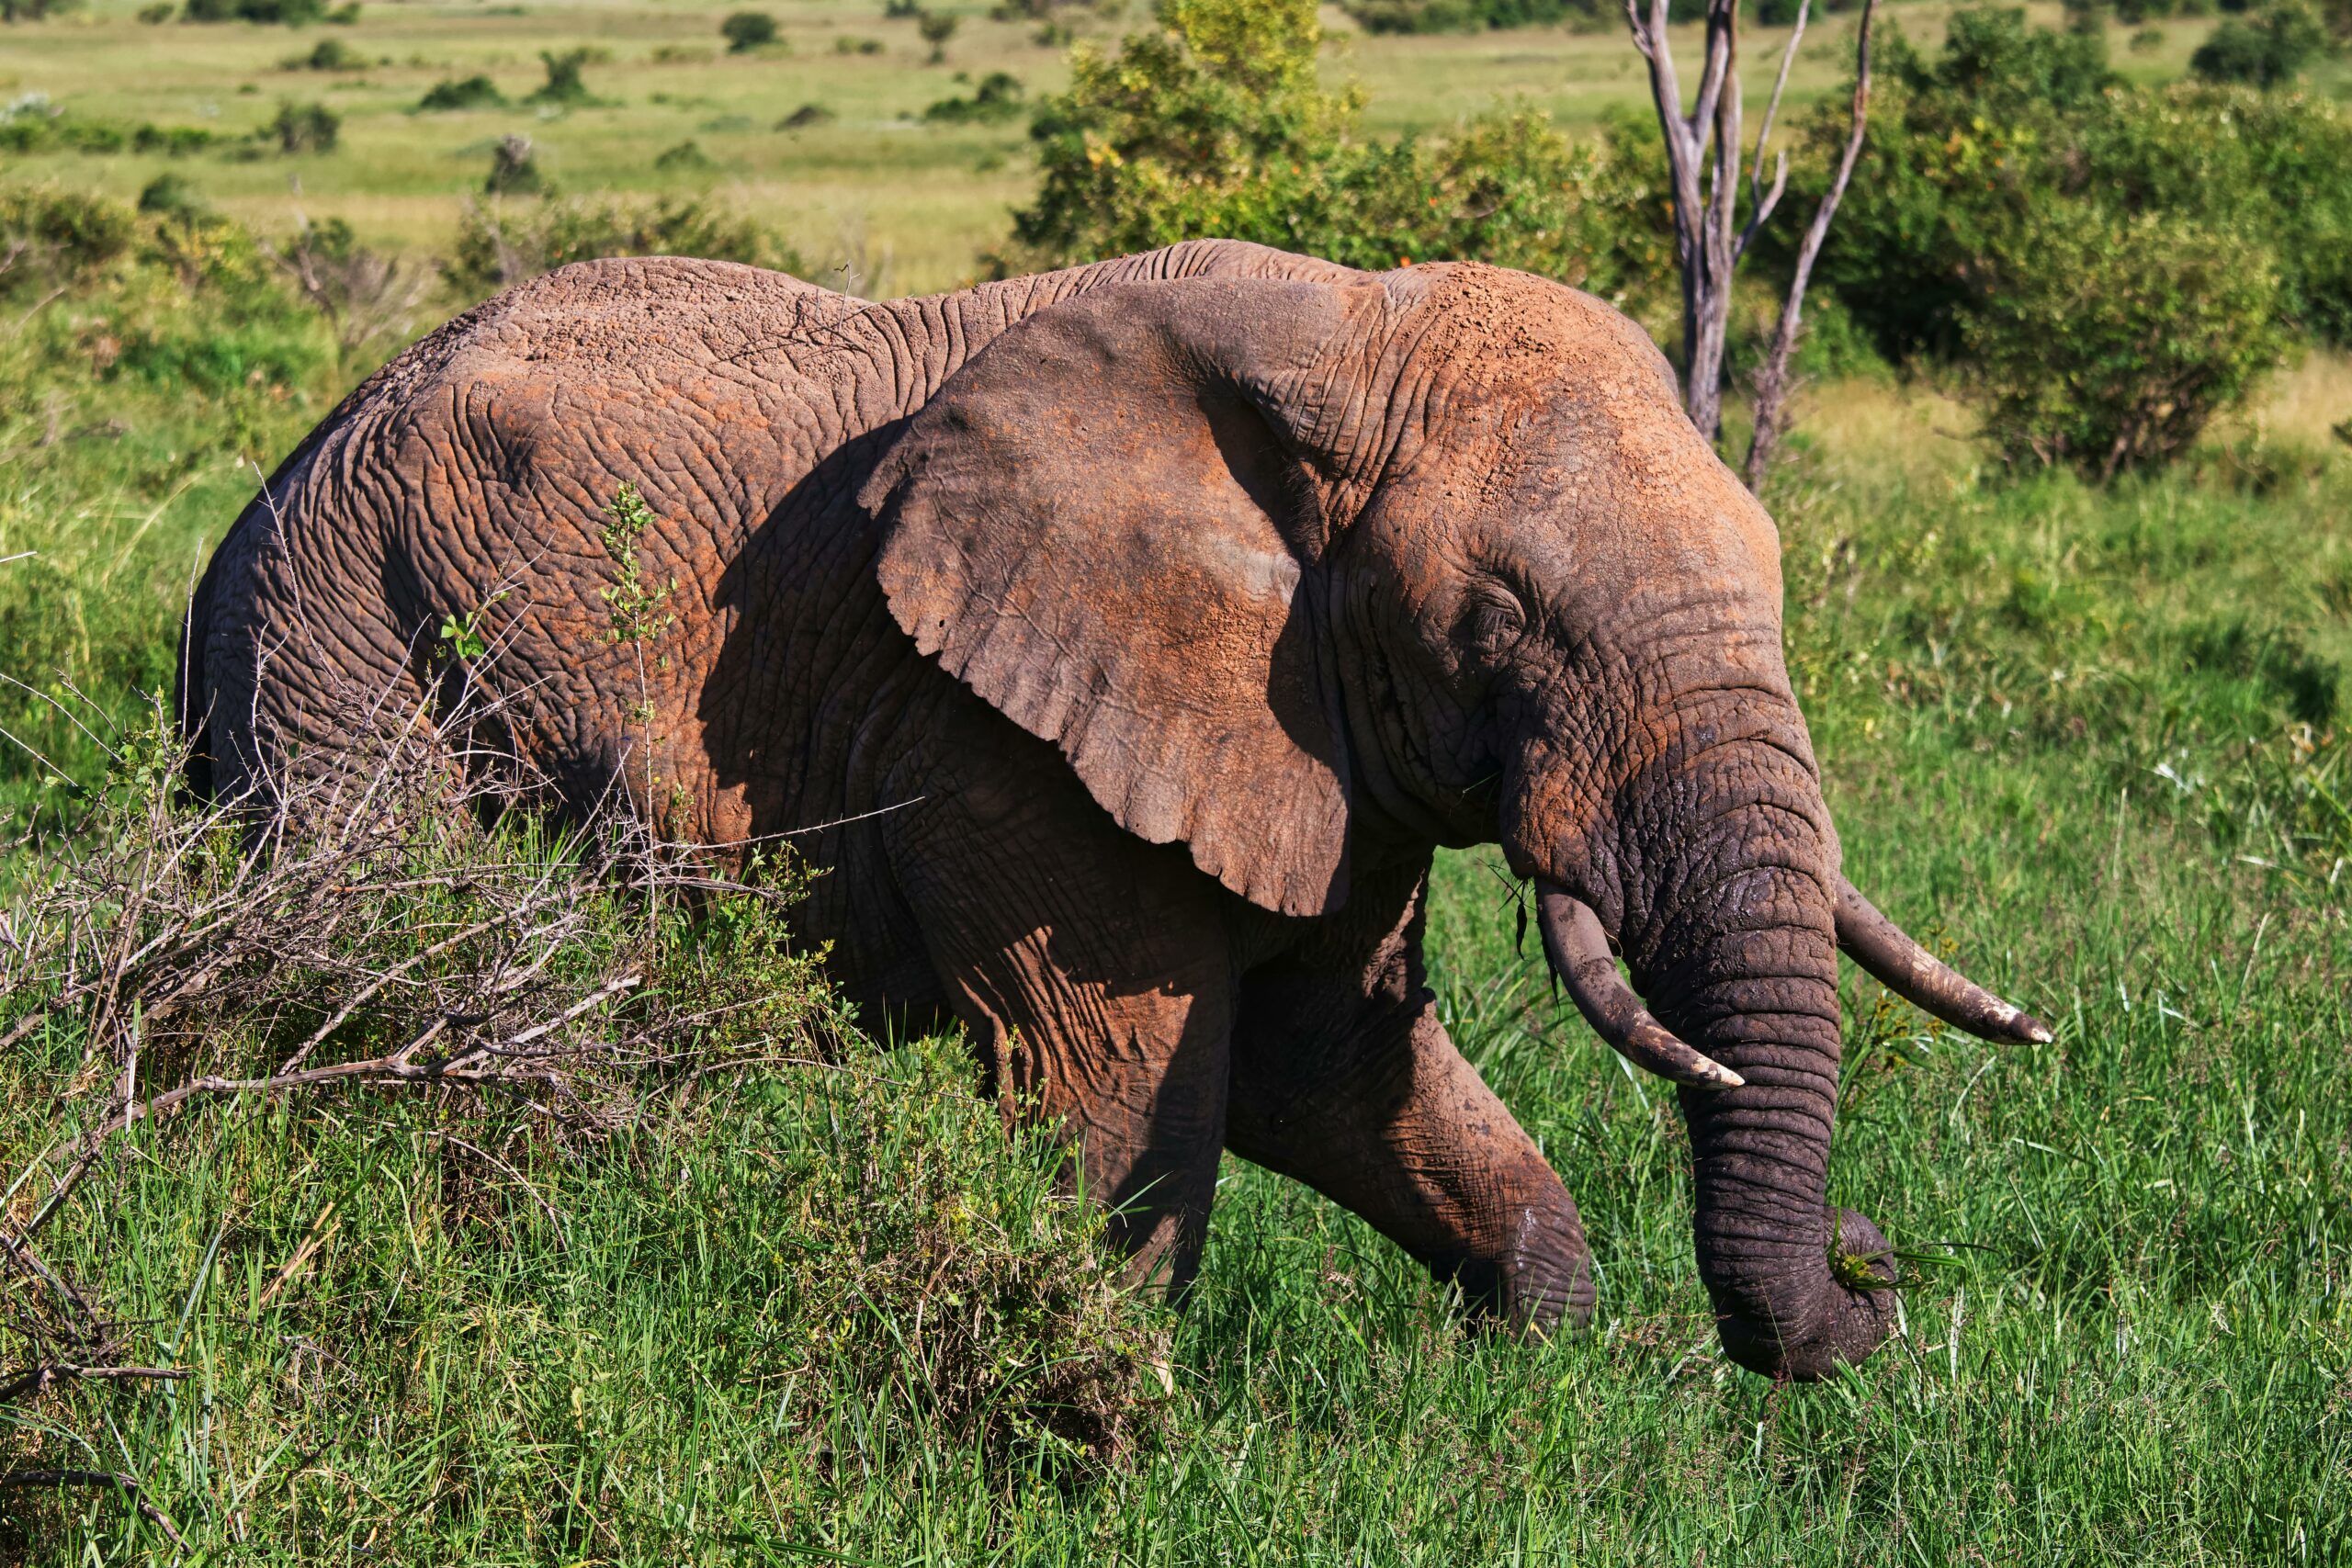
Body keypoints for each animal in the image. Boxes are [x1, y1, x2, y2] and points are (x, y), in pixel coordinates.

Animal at [183, 240, 2051, 1382]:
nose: (1875, 1265)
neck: (1343, 334)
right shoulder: (998, 736)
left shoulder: (1310, 739)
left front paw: (1542, 1363)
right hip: (336, 650)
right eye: (1502, 620)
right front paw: (1112, 1413)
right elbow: (1131, 1081)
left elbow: (1336, 1061)